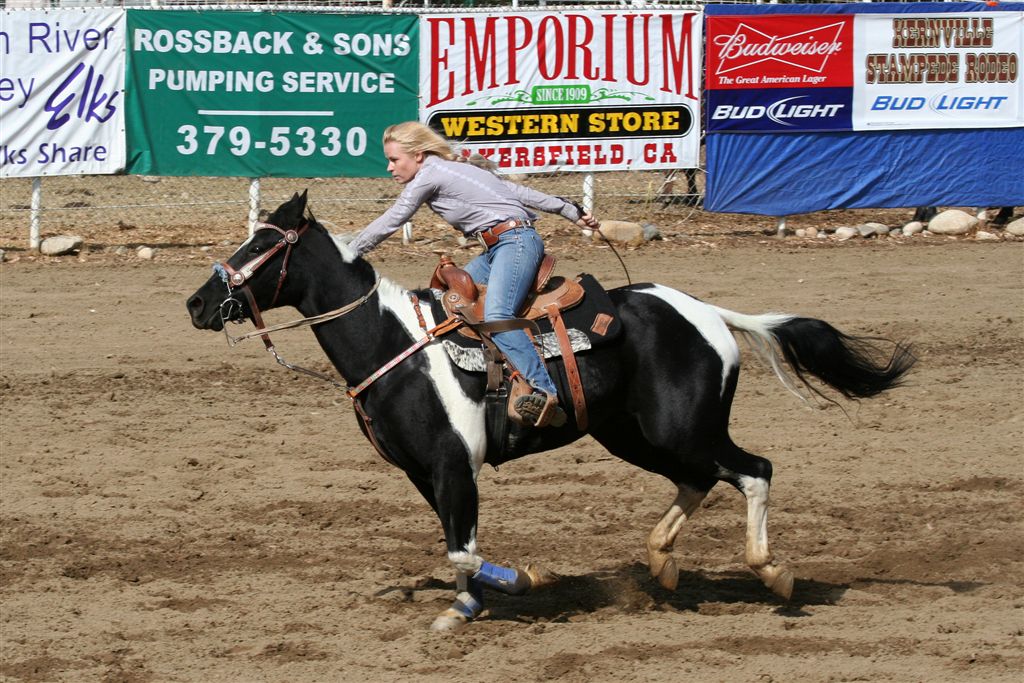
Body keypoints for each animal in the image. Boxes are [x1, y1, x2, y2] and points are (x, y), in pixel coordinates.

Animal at [188, 191, 917, 630]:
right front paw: (466, 606)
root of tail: (707, 313)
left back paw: (774, 572)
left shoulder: (454, 464)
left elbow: (463, 547)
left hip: (683, 428)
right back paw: (662, 561)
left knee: (754, 470)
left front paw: (521, 580)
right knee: (701, 479)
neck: (395, 345)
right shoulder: (427, 472)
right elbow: (459, 547)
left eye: (260, 247)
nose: (197, 303)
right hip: (636, 434)